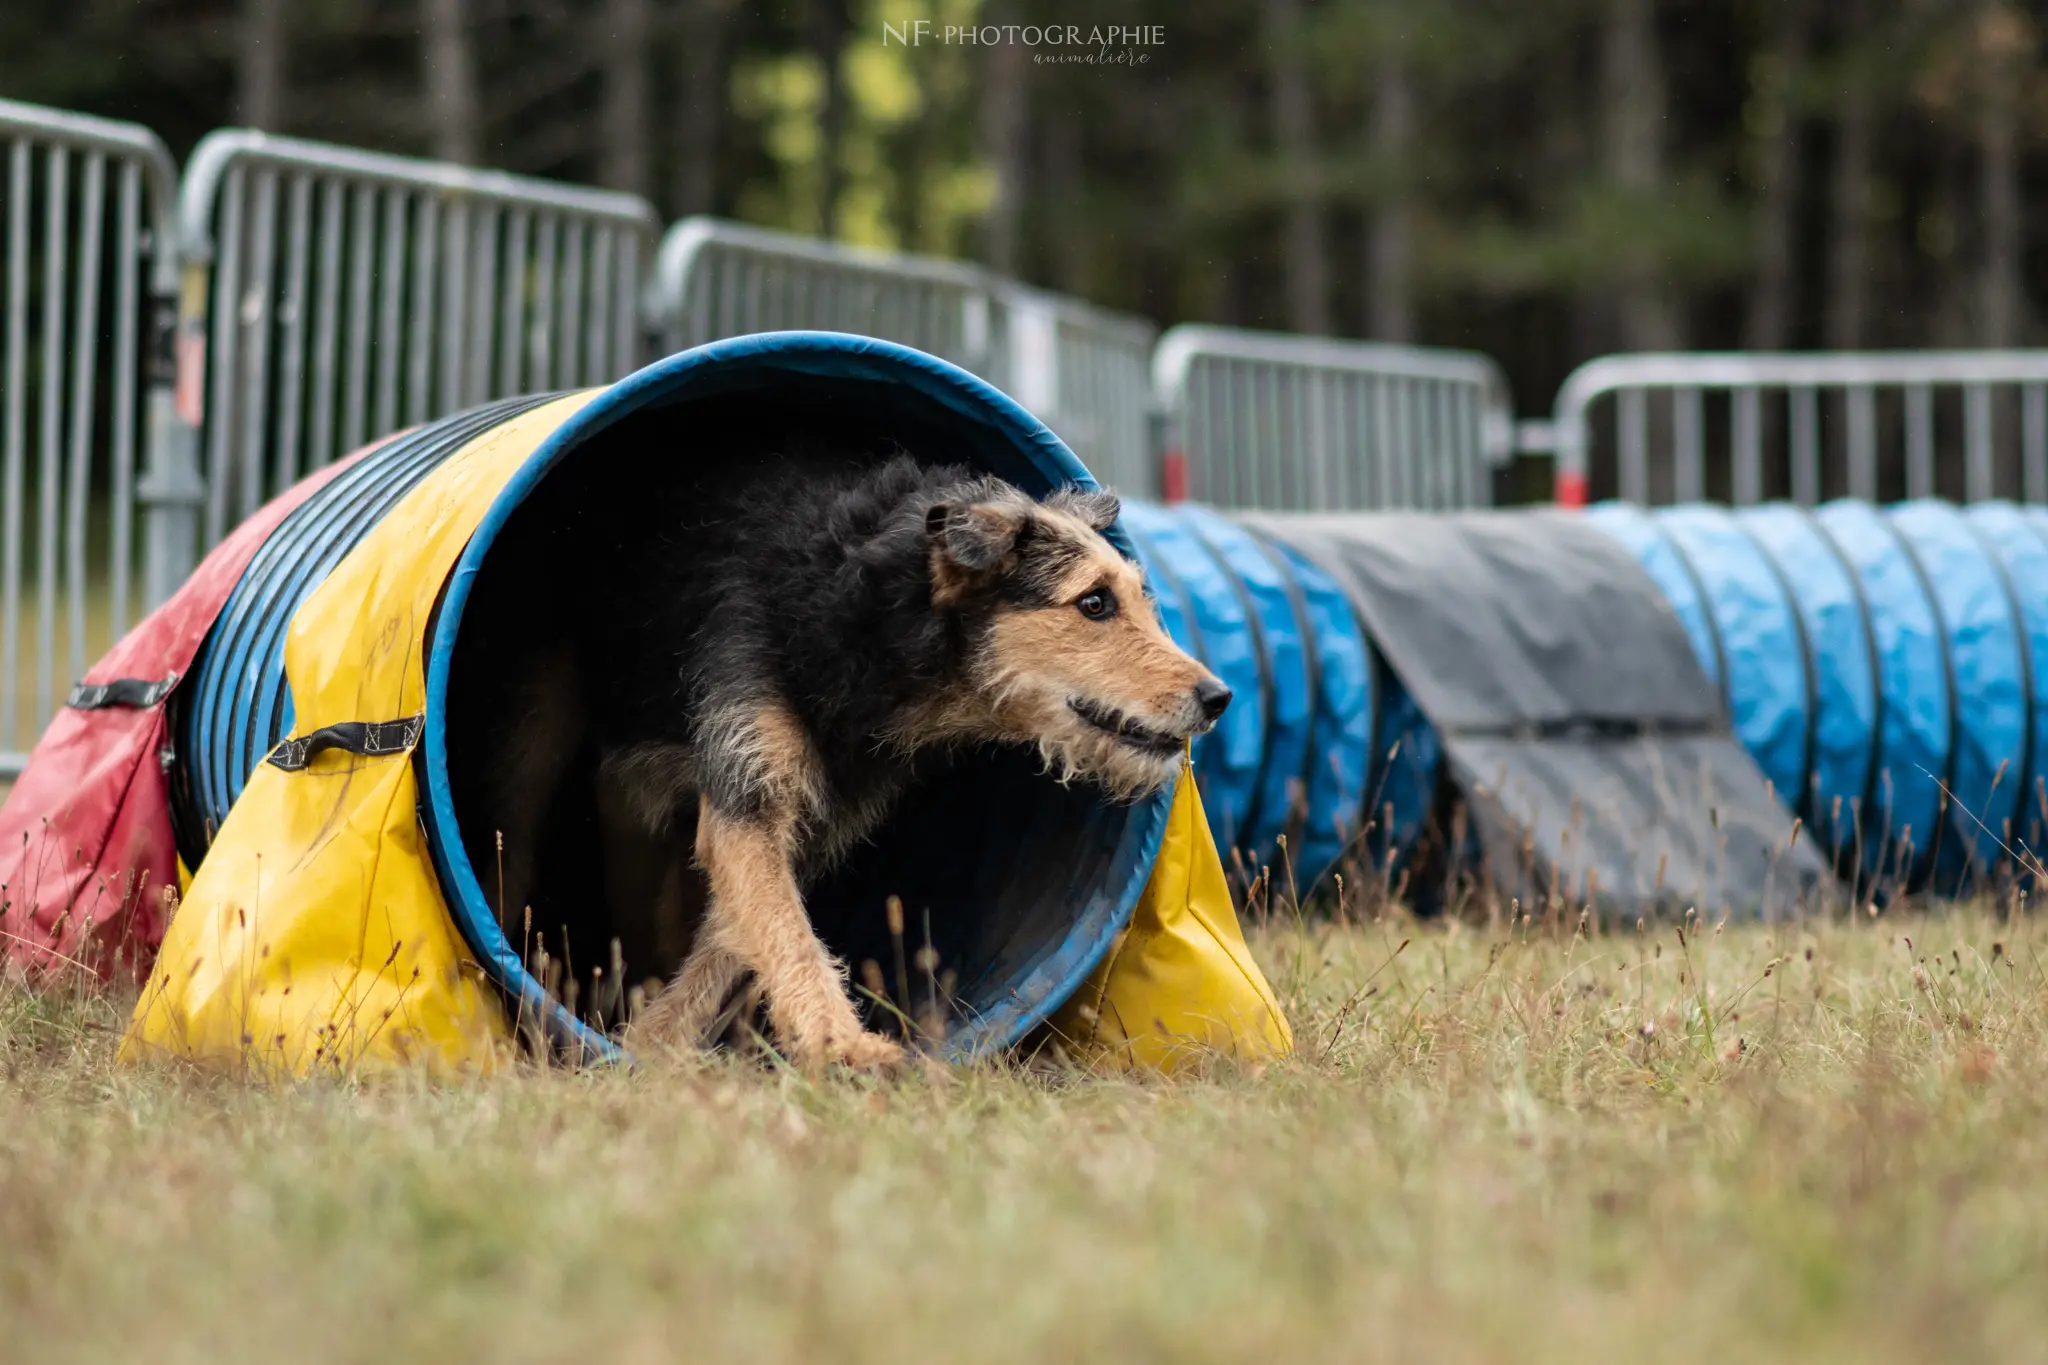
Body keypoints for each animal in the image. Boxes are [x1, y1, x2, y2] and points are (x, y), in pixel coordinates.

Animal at [460, 437, 1228, 1080]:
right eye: (1094, 603)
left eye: (1140, 599)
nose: (1218, 697)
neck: (859, 612)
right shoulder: (749, 797)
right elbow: (786, 934)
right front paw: (843, 1046)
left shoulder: (803, 824)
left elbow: (737, 941)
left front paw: (654, 1040)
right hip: (536, 740)